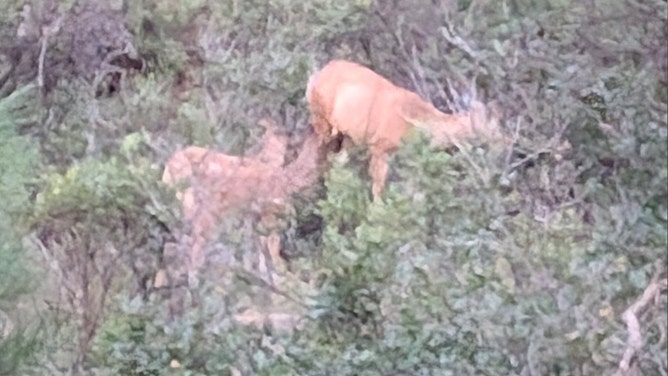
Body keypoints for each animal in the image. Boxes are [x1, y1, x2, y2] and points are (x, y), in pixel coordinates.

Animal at [306, 59, 508, 200]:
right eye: (490, 125)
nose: (506, 141)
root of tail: (315, 75)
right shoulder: (380, 145)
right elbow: (378, 187)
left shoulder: (411, 159)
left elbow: (413, 191)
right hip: (321, 120)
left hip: (349, 137)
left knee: (337, 161)